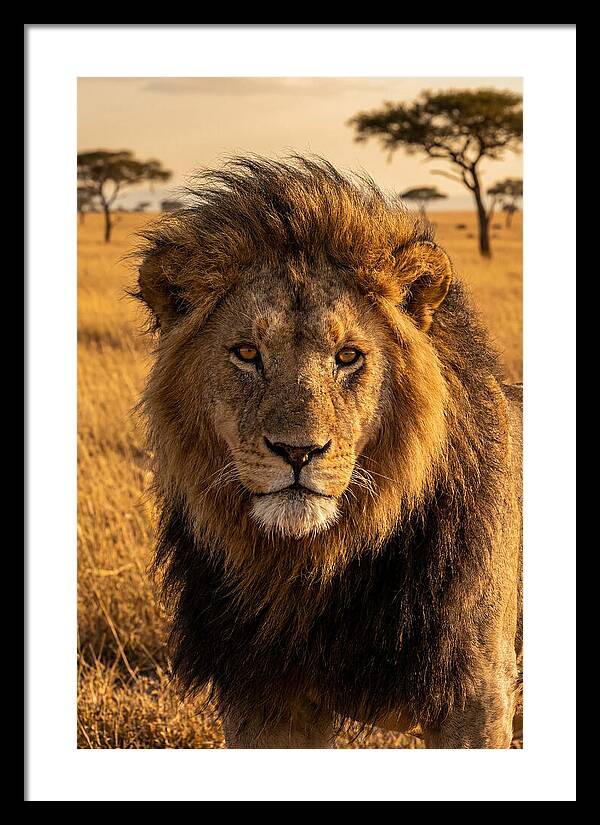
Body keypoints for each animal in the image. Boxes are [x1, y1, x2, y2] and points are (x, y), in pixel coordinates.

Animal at [134, 156, 523, 749]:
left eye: (348, 356)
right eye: (246, 353)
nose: (298, 452)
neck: (312, 568)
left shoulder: (476, 696)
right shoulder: (263, 699)